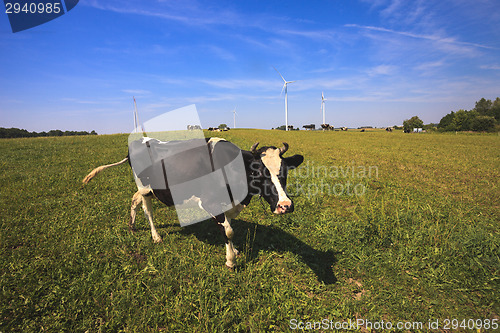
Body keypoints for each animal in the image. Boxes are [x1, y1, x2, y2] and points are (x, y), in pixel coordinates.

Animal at [81, 137, 304, 268]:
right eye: (258, 172)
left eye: (285, 171)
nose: (285, 205)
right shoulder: (210, 203)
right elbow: (228, 231)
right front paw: (230, 260)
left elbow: (229, 228)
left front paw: (234, 251)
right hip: (145, 188)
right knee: (147, 209)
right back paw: (155, 236)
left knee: (134, 200)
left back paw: (132, 226)